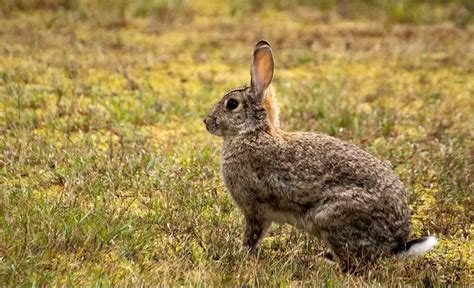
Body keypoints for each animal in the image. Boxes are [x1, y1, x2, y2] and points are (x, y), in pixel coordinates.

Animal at [202, 39, 438, 268]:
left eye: (232, 104)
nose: (206, 121)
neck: (252, 133)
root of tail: (396, 245)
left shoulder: (254, 208)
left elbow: (252, 235)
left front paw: (241, 253)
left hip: (330, 218)